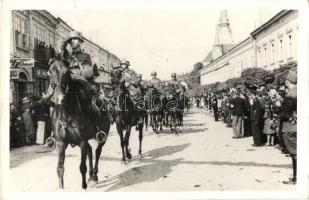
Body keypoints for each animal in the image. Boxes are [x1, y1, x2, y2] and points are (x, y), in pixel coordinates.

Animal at [45, 58, 109, 191]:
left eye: (67, 72)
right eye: (49, 72)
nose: (58, 98)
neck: (67, 114)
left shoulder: (82, 141)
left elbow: (82, 167)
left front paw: (84, 186)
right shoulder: (60, 143)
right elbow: (60, 168)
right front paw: (61, 188)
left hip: (102, 136)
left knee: (97, 151)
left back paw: (94, 176)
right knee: (90, 150)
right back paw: (91, 176)